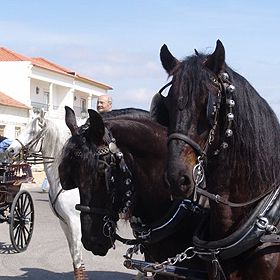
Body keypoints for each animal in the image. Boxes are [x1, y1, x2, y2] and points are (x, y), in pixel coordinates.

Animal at [6, 110, 87, 280]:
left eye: (32, 131)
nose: (10, 150)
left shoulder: (76, 222)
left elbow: (77, 257)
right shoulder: (64, 223)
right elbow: (74, 256)